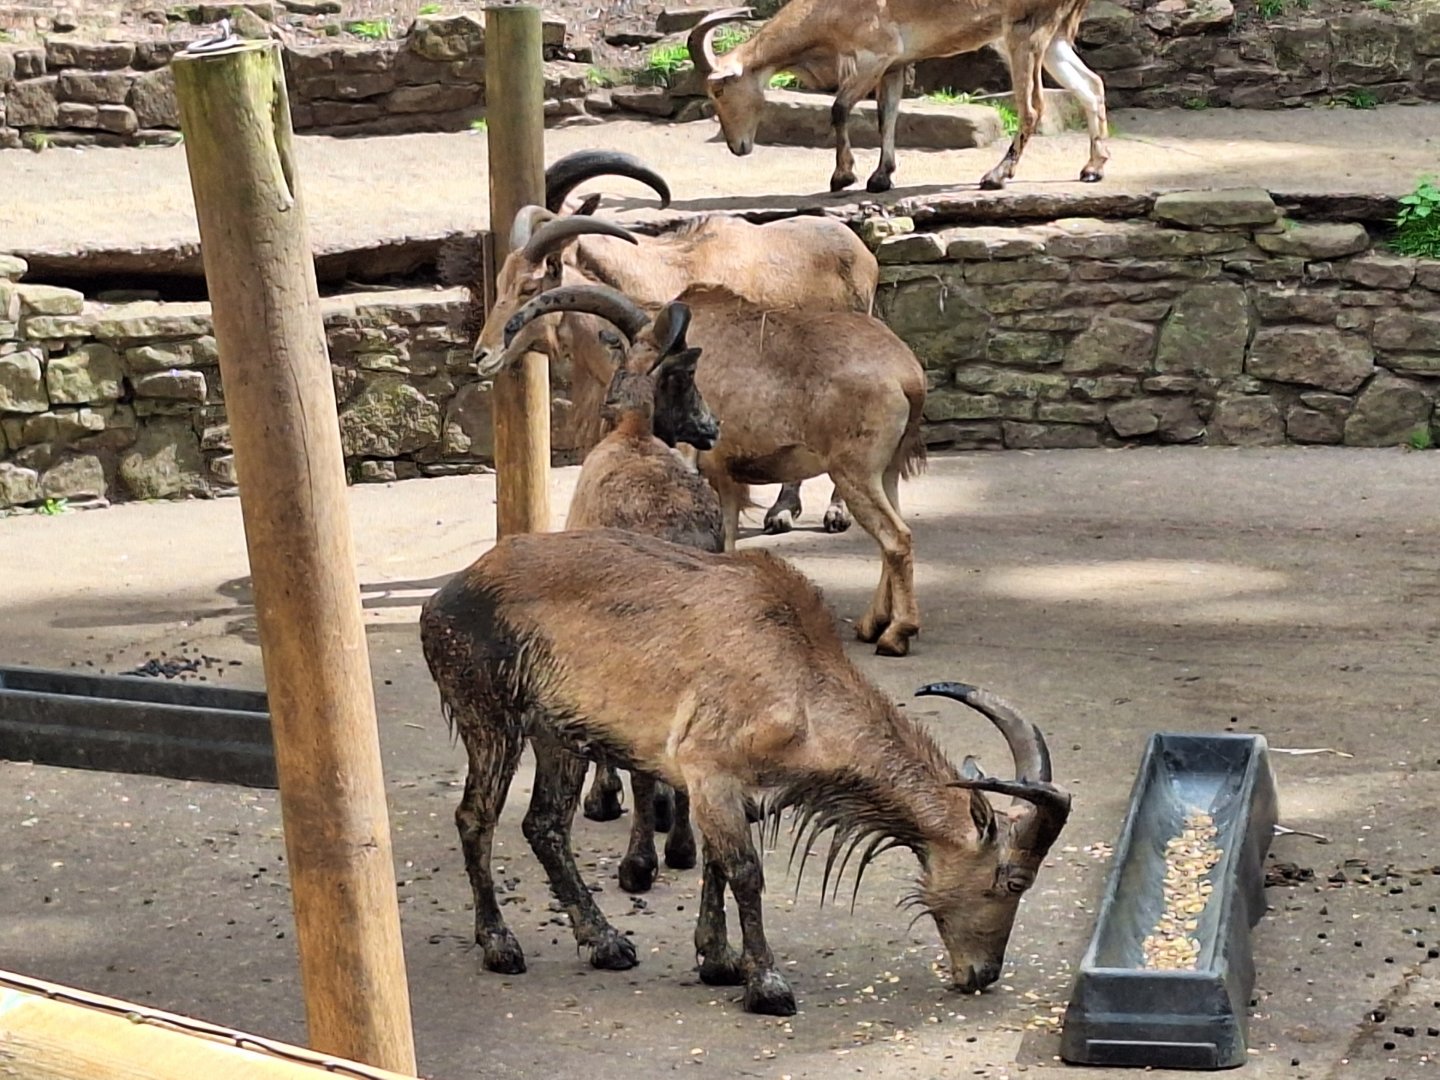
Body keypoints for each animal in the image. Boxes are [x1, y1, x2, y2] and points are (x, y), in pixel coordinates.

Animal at [420, 526, 1072, 1016]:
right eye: (1015, 881)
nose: (982, 974)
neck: (798, 682)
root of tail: (443, 598)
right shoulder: (709, 772)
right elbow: (746, 873)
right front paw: (768, 985)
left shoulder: (731, 792)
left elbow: (716, 866)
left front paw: (718, 961)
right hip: (491, 717)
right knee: (475, 818)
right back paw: (501, 945)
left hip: (560, 736)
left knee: (545, 826)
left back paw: (606, 943)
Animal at [496, 279, 928, 657]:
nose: (711, 426)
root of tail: (908, 377)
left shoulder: (707, 469)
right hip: (886, 471)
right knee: (895, 535)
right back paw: (872, 625)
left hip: (854, 471)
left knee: (895, 537)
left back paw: (896, 635)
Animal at [686, 2, 1108, 193]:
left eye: (719, 89)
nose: (738, 147)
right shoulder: (893, 66)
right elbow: (886, 115)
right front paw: (880, 177)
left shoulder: (874, 56)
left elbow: (840, 109)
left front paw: (843, 176)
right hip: (1052, 39)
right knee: (1092, 85)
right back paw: (1093, 168)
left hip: (1024, 32)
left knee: (1033, 106)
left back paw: (996, 175)